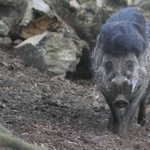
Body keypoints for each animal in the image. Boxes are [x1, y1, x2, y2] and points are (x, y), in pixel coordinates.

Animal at [91, 7, 150, 138]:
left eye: (129, 64)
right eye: (109, 65)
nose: (121, 100)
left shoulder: (139, 89)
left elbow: (130, 112)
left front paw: (122, 136)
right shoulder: (105, 91)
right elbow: (114, 111)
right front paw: (112, 131)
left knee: (144, 102)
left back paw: (142, 124)